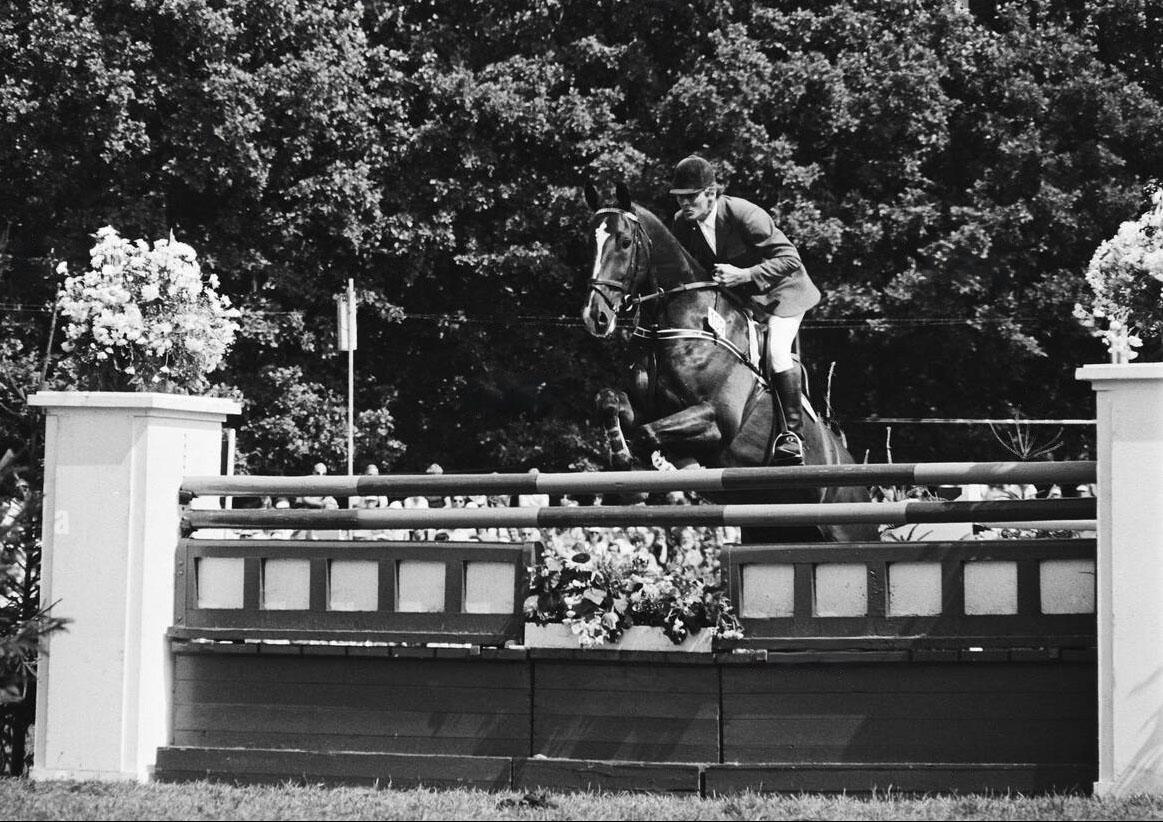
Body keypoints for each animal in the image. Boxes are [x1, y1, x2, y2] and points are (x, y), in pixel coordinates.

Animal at [581, 184, 874, 546]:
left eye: (623, 242)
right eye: (590, 242)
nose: (595, 317)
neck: (673, 324)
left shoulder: (716, 418)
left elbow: (646, 433)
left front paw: (646, 477)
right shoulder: (645, 406)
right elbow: (610, 402)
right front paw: (623, 461)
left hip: (847, 527)